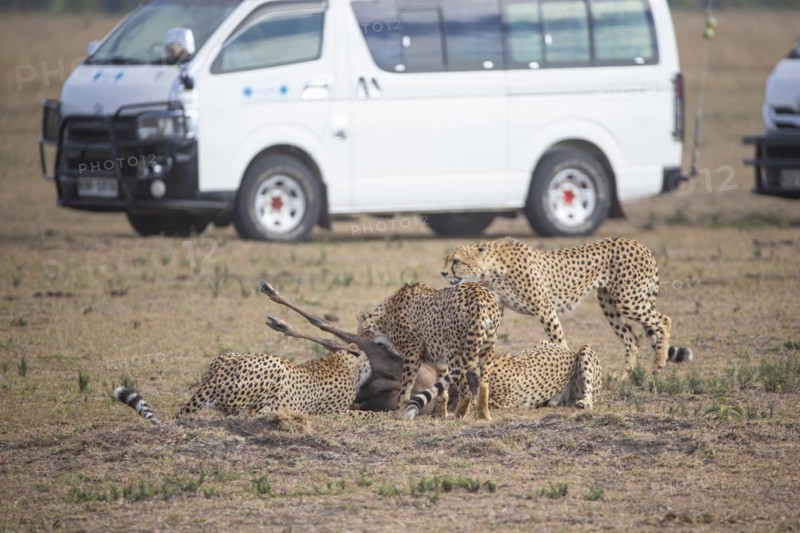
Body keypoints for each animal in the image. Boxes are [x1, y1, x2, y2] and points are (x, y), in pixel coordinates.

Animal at [114, 344, 372, 424]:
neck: (340, 361)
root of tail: (216, 375)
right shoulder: (333, 412)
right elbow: (363, 414)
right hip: (276, 366)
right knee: (251, 414)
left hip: (226, 356)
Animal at [357, 282, 501, 420]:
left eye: (363, 332)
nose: (362, 343)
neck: (387, 314)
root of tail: (480, 294)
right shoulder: (441, 362)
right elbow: (442, 390)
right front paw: (441, 414)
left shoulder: (413, 349)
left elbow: (405, 388)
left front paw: (398, 413)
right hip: (487, 349)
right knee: (483, 385)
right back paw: (484, 415)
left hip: (456, 354)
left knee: (466, 391)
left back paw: (459, 415)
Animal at [404, 341, 602, 419]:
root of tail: (567, 350)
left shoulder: (509, 402)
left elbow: (486, 403)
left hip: (585, 352)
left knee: (590, 398)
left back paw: (584, 402)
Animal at [441, 237, 693, 374]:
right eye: (445, 260)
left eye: (456, 261)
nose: (442, 273)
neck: (492, 267)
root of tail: (637, 242)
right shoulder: (498, 309)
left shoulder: (544, 308)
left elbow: (558, 340)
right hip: (608, 303)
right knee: (632, 338)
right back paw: (624, 377)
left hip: (629, 299)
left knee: (663, 320)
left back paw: (659, 361)